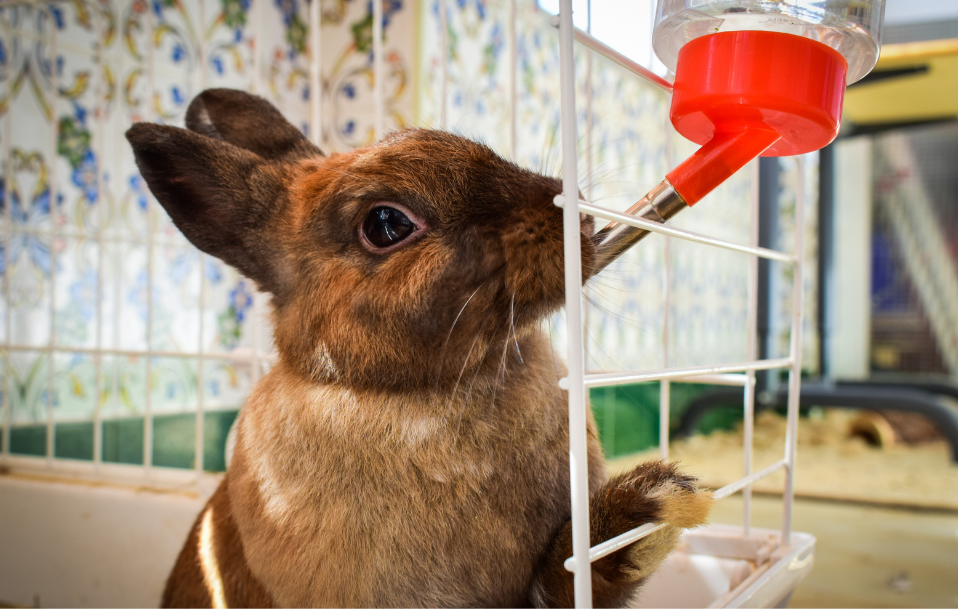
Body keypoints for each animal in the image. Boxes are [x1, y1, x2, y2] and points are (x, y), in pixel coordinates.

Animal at [126, 88, 712, 608]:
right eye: (386, 224)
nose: (580, 218)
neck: (416, 390)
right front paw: (657, 505)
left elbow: (568, 575)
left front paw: (654, 507)